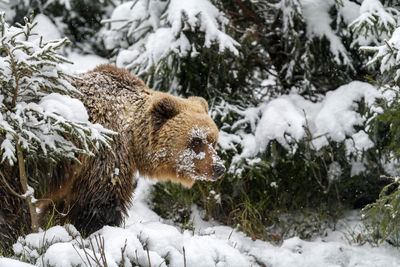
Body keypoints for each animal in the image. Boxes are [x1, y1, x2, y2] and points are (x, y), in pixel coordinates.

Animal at [0, 64, 225, 249]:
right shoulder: (104, 150)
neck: (132, 137)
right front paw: (99, 232)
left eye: (213, 141)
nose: (219, 168)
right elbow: (100, 203)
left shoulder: (73, 176)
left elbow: (60, 205)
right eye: (195, 141)